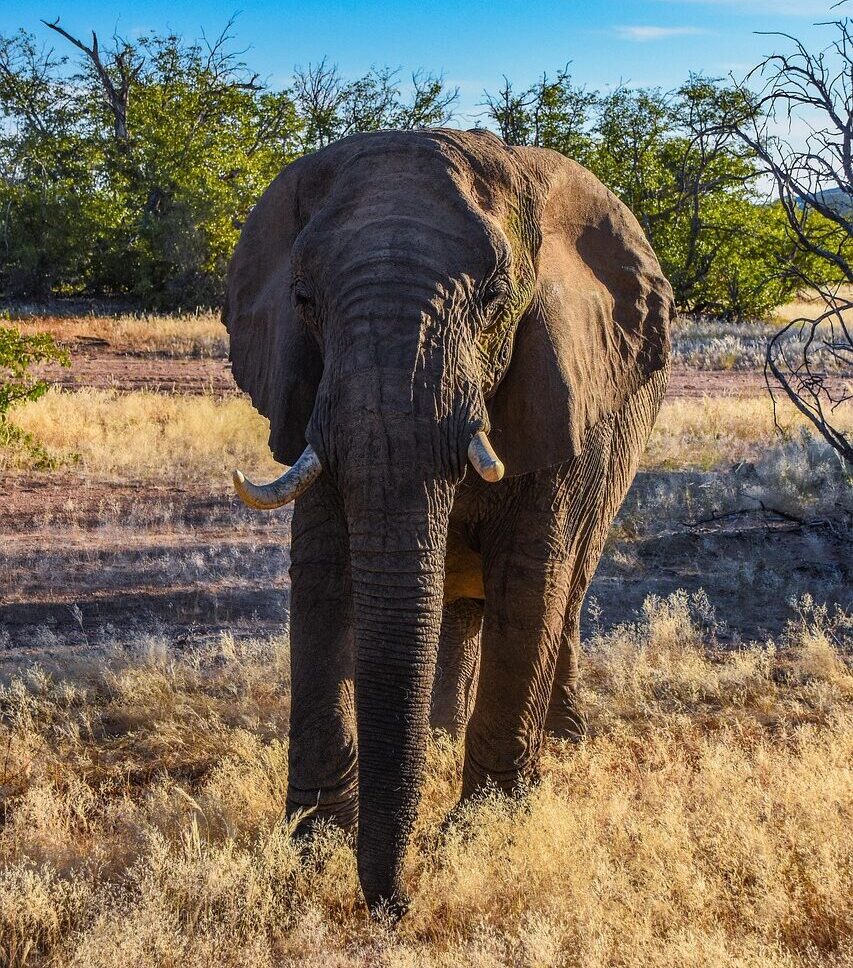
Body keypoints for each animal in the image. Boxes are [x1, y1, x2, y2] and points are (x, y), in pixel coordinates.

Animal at [224, 128, 673, 914]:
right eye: (304, 300)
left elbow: (530, 579)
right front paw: (310, 847)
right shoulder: (309, 397)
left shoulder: (560, 382)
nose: (397, 906)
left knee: (567, 593)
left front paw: (481, 833)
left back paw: (564, 742)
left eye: (494, 301)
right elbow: (324, 576)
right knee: (461, 608)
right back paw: (438, 735)